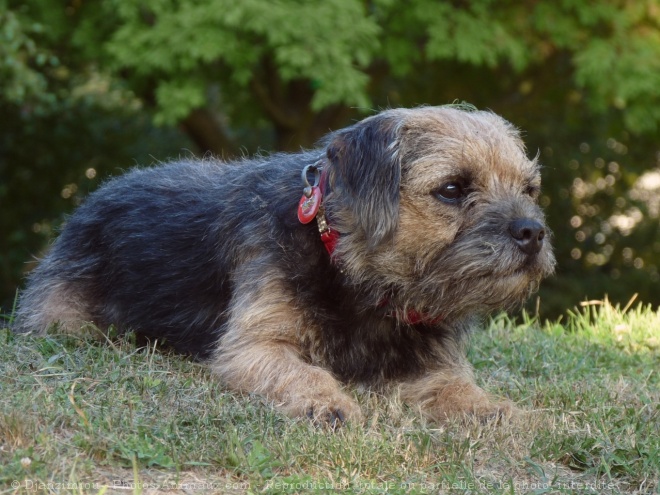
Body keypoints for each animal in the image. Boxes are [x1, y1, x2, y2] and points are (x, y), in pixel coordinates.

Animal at [12, 106, 556, 424]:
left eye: (529, 188)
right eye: (452, 188)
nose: (532, 232)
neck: (355, 279)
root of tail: (92, 199)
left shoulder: (429, 363)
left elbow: (455, 386)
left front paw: (490, 408)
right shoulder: (255, 346)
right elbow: (301, 372)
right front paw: (327, 402)